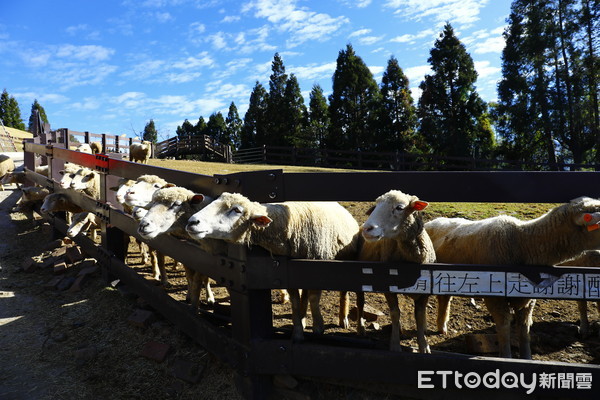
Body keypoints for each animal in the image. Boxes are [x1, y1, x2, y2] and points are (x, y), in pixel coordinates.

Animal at [356, 191, 436, 354]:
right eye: (376, 205)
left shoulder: (425, 291)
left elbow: (419, 316)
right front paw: (395, 345)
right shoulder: (388, 287)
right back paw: (361, 328)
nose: (367, 229)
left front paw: (424, 346)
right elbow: (395, 312)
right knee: (360, 301)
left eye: (399, 208)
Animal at [426, 197, 600, 360]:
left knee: (444, 299)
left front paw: (526, 358)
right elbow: (504, 327)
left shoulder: (528, 299)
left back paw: (442, 327)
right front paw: (506, 357)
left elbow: (524, 329)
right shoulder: (495, 297)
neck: (522, 243)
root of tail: (433, 221)